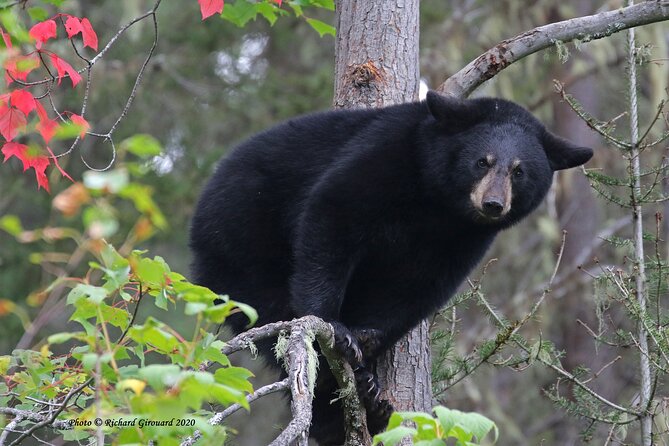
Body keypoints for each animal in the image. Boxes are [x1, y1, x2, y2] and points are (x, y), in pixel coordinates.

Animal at [188, 92, 588, 444]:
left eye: (520, 171)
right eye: (482, 161)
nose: (492, 204)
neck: (437, 201)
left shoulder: (461, 238)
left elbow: (418, 286)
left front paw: (368, 338)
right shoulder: (385, 157)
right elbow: (333, 216)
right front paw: (337, 329)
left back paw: (365, 399)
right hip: (242, 240)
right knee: (271, 315)